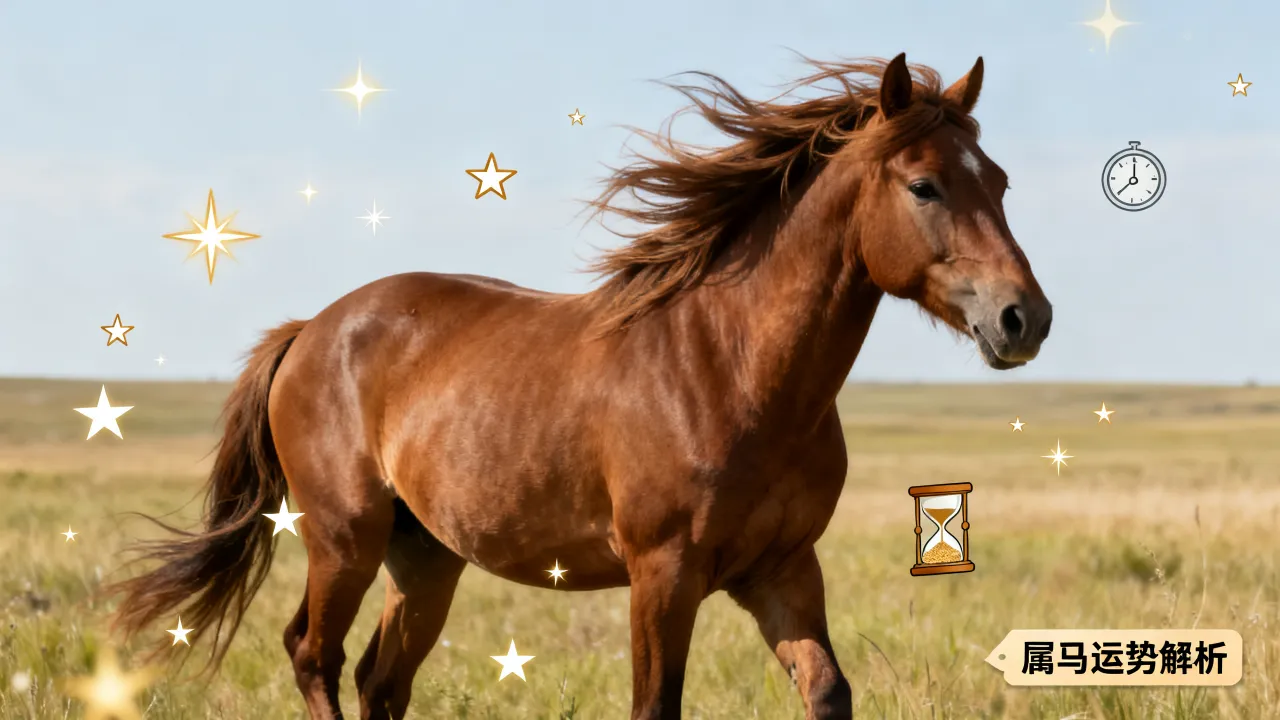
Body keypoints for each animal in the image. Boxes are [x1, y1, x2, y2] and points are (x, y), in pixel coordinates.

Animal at [108, 52, 1052, 720]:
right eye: (924, 185)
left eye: (1001, 182)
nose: (1024, 319)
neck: (734, 370)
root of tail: (312, 329)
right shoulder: (663, 574)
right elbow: (654, 706)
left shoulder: (782, 570)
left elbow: (828, 693)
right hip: (345, 539)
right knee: (314, 655)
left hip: (426, 557)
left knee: (381, 681)